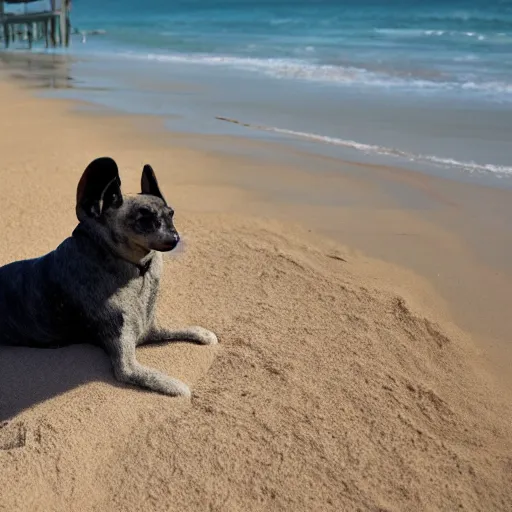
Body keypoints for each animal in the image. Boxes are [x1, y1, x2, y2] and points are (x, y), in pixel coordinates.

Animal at [0, 158, 218, 398]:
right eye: (143, 219)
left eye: (171, 214)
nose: (175, 238)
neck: (138, 271)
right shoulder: (126, 364)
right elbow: (156, 377)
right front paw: (178, 388)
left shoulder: (151, 328)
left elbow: (178, 329)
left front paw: (202, 333)